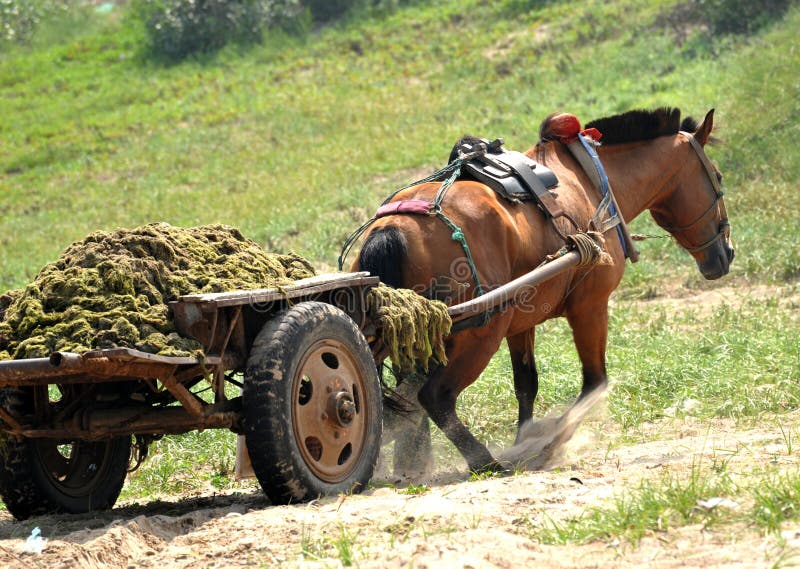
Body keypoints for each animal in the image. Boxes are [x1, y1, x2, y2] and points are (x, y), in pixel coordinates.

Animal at [354, 106, 736, 470]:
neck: (591, 181)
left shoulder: (520, 324)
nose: (727, 253)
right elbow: (595, 383)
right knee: (435, 397)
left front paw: (526, 434)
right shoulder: (590, 308)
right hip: (480, 334)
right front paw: (547, 441)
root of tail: (393, 227)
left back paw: (413, 466)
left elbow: (527, 384)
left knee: (412, 404)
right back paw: (486, 461)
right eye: (718, 177)